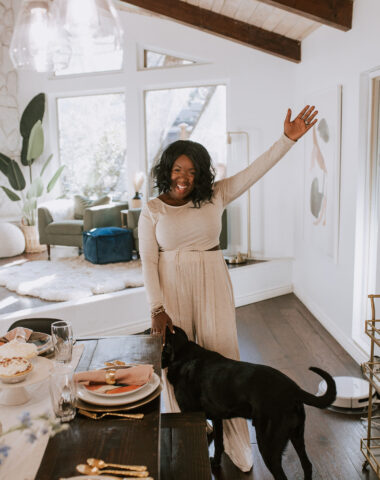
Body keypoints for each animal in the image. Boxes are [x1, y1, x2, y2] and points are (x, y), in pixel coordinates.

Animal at [162, 324, 336, 478]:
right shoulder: (217, 419)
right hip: (297, 436)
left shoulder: (191, 415)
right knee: (307, 465)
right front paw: (216, 463)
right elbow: (219, 444)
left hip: (268, 445)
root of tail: (294, 389)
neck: (183, 353)